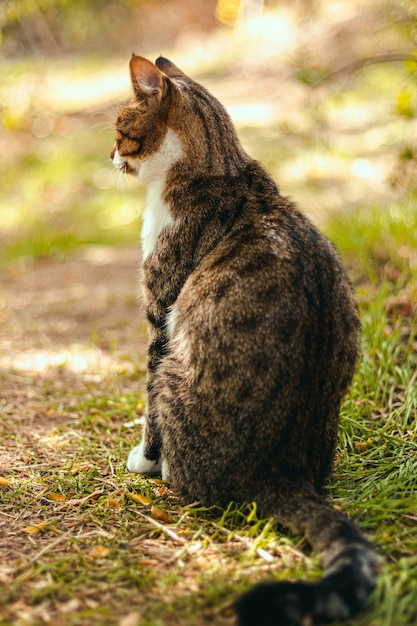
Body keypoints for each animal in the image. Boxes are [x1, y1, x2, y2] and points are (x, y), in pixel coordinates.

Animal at [110, 54, 376, 624]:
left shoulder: (161, 317)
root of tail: (280, 470)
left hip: (177, 367)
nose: (109, 155)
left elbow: (148, 407)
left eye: (120, 130)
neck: (221, 169)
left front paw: (143, 460)